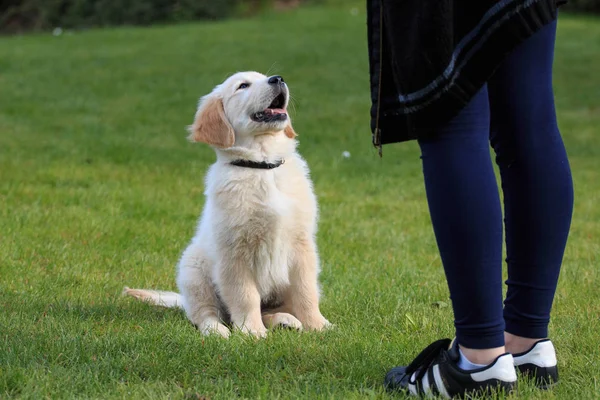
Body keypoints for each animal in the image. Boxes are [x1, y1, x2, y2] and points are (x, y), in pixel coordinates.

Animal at [124, 71, 330, 338]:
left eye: (266, 76)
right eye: (243, 86)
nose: (277, 78)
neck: (262, 166)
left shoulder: (302, 244)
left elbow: (306, 291)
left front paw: (318, 325)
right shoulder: (234, 252)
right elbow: (245, 296)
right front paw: (252, 332)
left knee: (270, 309)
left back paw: (286, 320)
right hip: (193, 271)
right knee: (205, 314)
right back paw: (217, 331)